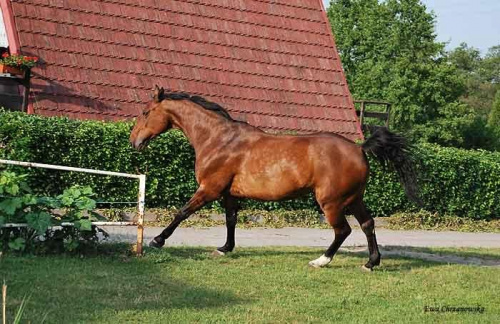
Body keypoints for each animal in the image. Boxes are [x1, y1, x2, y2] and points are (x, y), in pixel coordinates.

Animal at [129, 85, 418, 270]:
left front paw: (157, 240)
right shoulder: (228, 193)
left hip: (332, 202)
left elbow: (182, 212)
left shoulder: (209, 188)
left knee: (343, 230)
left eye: (145, 112)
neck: (218, 139)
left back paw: (321, 261)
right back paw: (371, 262)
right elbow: (231, 220)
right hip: (354, 198)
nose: (134, 142)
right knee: (368, 224)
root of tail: (359, 148)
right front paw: (225, 248)